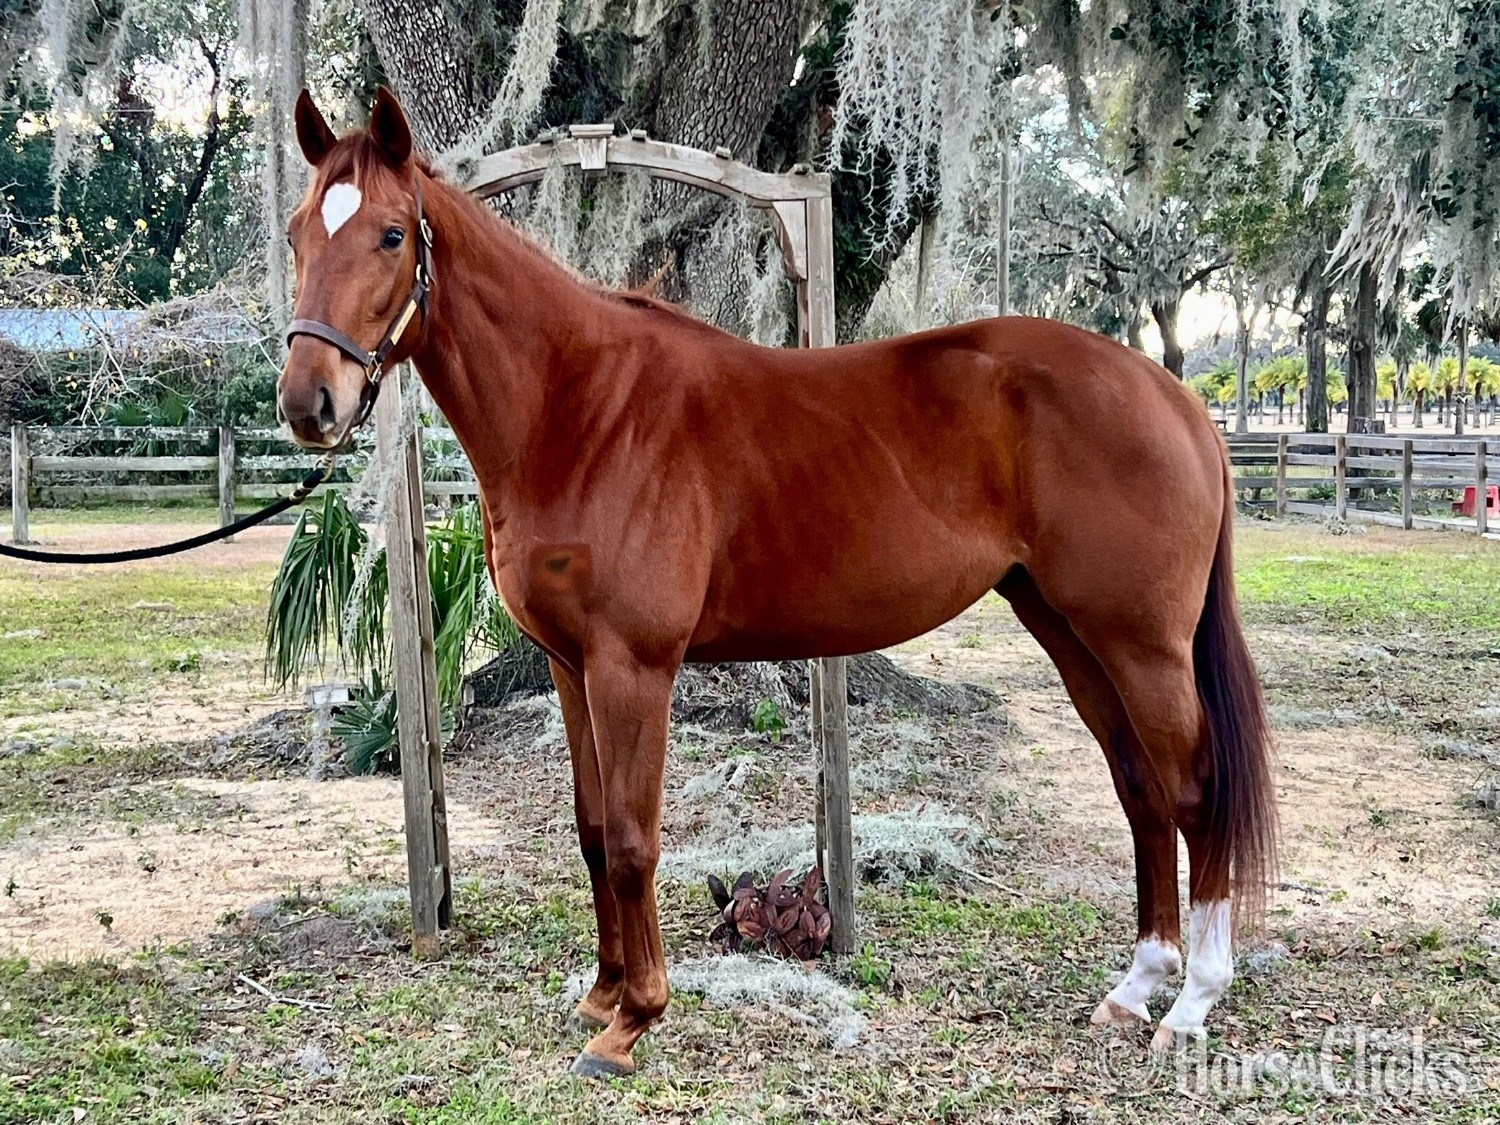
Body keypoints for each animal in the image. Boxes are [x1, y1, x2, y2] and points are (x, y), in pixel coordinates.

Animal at [277, 87, 1277, 1078]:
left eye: (392, 234)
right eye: (296, 233)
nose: (307, 400)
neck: (583, 408)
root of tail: (1178, 399)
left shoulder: (632, 667)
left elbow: (635, 840)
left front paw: (633, 1020)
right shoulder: (570, 665)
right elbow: (594, 830)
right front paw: (601, 991)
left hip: (1140, 643)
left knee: (1195, 791)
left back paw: (1191, 1002)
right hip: (1069, 630)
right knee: (1140, 788)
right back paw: (1135, 985)